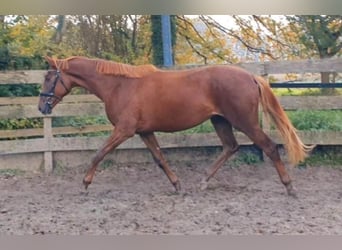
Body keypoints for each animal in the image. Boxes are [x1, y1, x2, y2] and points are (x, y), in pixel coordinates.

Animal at [38, 56, 312, 197]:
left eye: (49, 77)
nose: (42, 107)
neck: (119, 85)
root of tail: (251, 76)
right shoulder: (144, 131)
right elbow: (160, 159)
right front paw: (177, 185)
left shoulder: (124, 130)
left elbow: (98, 154)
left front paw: (85, 184)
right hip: (220, 120)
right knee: (230, 147)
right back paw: (203, 182)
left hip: (244, 121)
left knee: (269, 146)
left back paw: (289, 187)